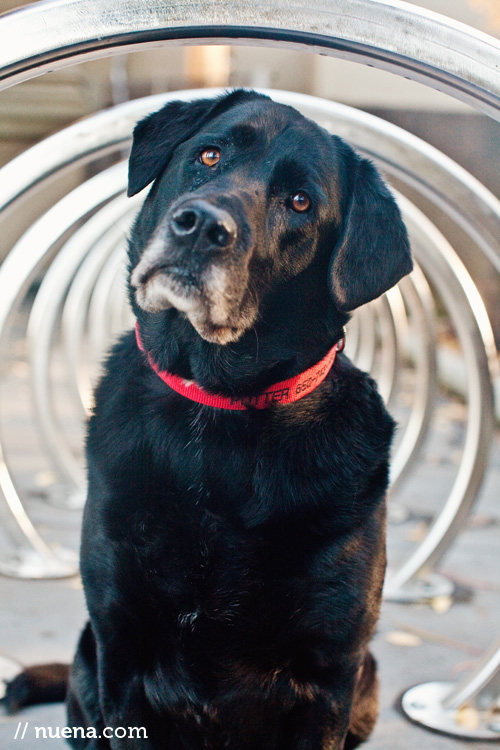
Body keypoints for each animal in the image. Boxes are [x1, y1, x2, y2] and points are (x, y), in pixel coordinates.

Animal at [3, 91, 410, 748]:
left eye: (301, 202)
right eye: (210, 154)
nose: (201, 225)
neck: (216, 407)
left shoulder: (329, 676)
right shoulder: (121, 650)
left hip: (367, 678)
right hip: (88, 660)